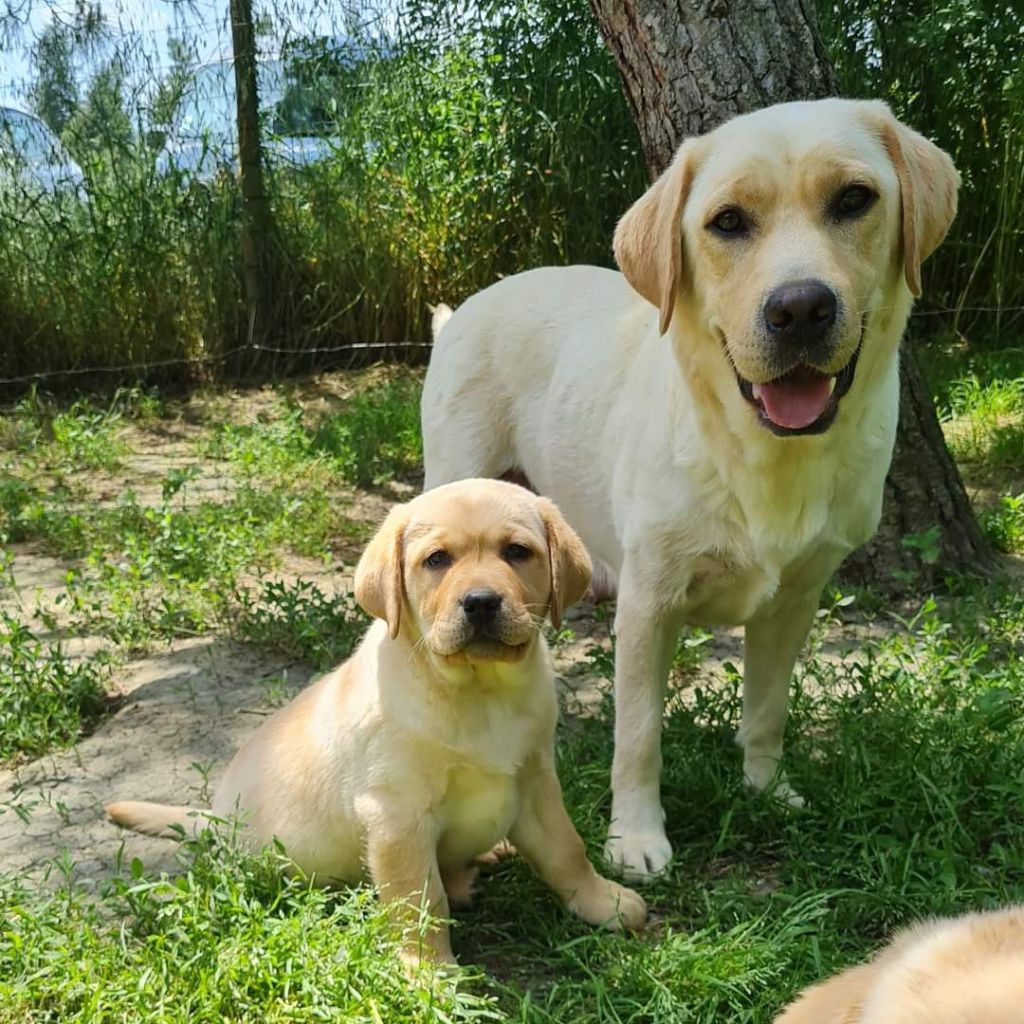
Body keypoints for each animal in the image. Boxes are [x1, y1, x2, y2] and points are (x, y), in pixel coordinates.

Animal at [105, 479, 647, 966]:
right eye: (437, 560)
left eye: (517, 551)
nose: (481, 602)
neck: (479, 691)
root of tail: (215, 821)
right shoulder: (396, 815)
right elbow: (418, 897)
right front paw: (428, 972)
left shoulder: (535, 779)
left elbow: (565, 848)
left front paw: (603, 901)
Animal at [421, 97, 958, 880]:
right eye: (727, 221)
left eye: (855, 199)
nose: (800, 309)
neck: (763, 455)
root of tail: (465, 309)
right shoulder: (650, 603)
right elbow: (640, 733)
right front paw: (635, 838)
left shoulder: (795, 601)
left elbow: (766, 709)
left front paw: (768, 789)